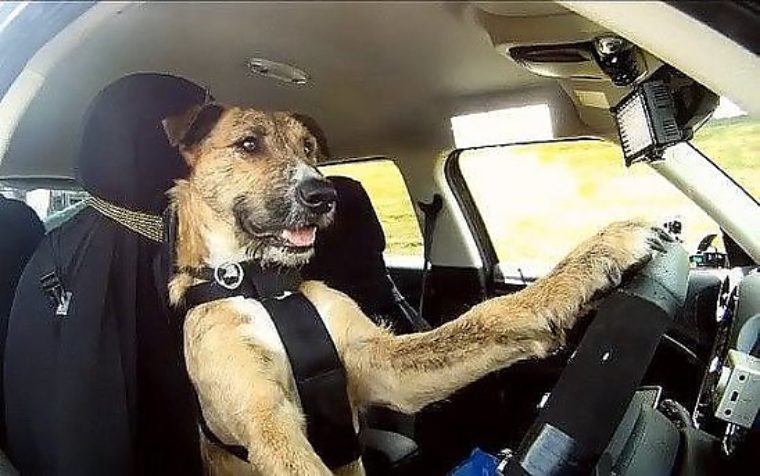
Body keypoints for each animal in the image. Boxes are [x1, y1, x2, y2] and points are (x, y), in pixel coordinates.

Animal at [162, 103, 670, 475]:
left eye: (308, 148)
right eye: (248, 144)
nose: (323, 195)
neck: (264, 286)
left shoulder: (378, 363)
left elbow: (486, 319)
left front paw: (595, 257)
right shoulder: (264, 418)